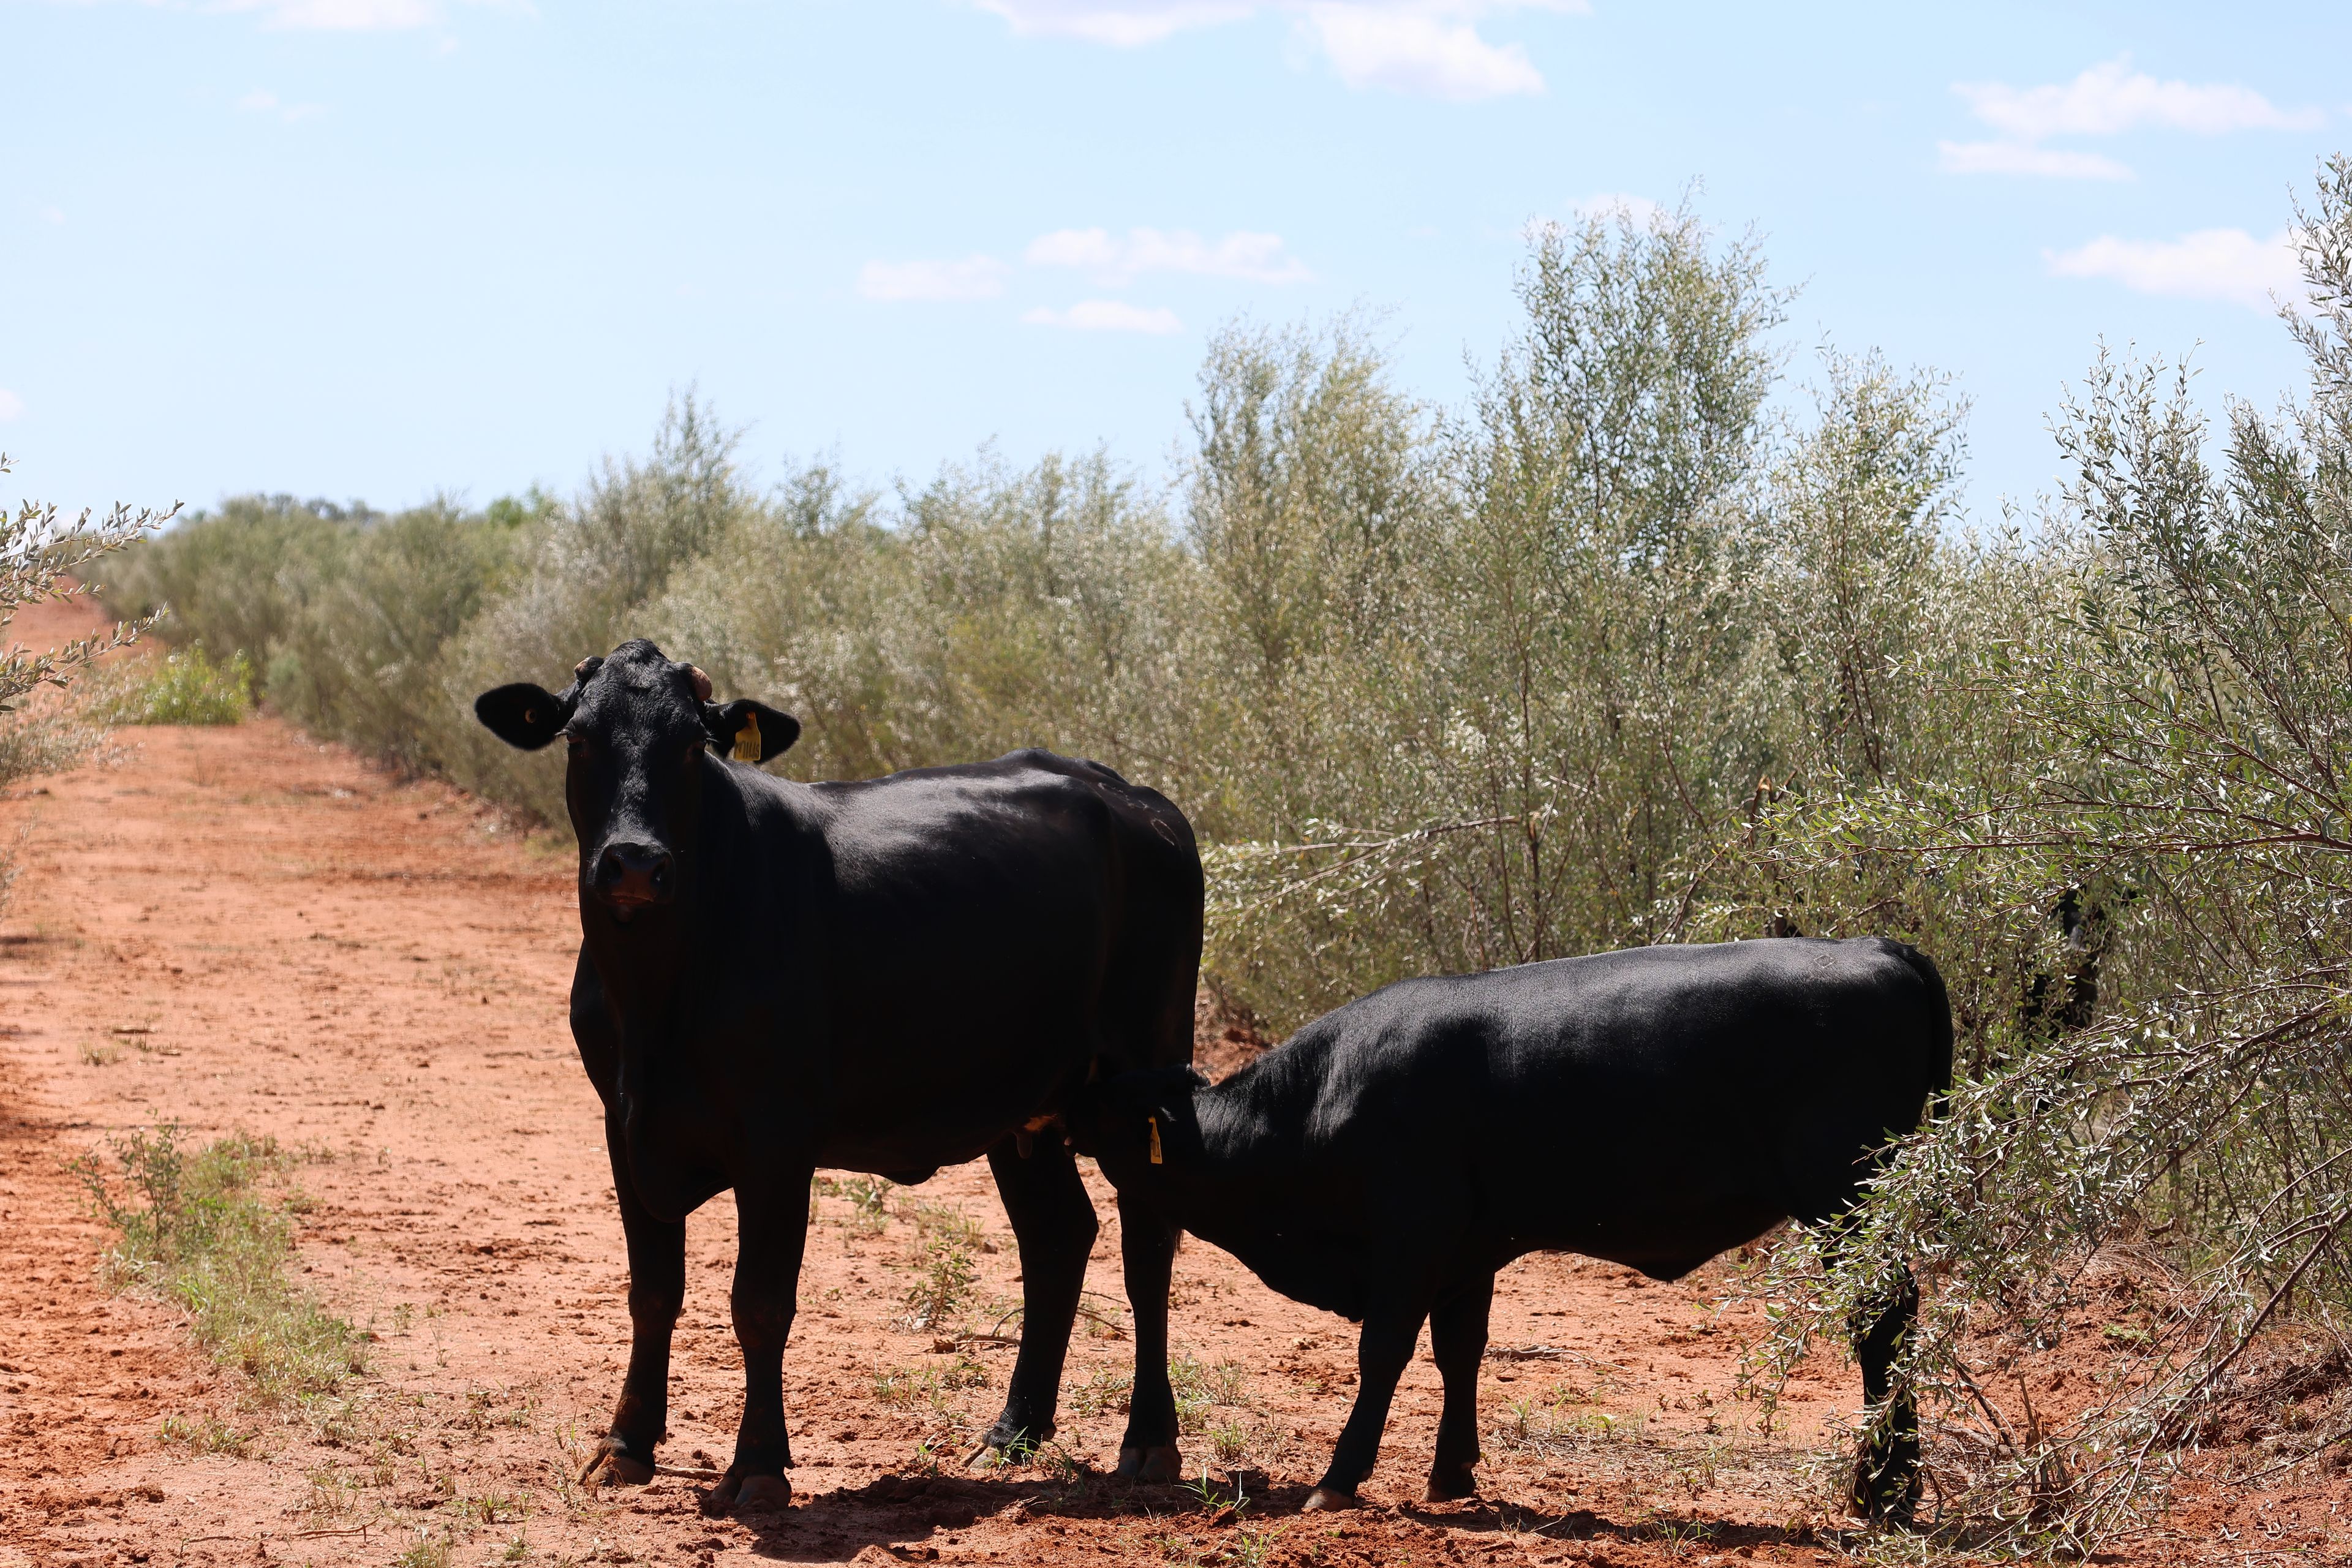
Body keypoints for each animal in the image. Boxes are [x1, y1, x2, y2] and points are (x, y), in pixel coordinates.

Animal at [470, 639, 1204, 1504]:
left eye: (692, 745)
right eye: (580, 738)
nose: (635, 865)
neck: (654, 995)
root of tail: (1132, 798)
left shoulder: (777, 1134)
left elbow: (759, 1300)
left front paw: (758, 1463)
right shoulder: (625, 1125)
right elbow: (652, 1292)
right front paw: (625, 1443)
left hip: (1147, 1072)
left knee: (1147, 1248)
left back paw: (1149, 1442)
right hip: (1022, 1102)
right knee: (1057, 1236)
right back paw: (1011, 1433)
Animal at [1082, 944, 1947, 1523]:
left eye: (1108, 1101)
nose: (1061, 1108)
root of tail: (1879, 949)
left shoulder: (1414, 1231)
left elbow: (1384, 1352)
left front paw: (1340, 1477)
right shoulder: (1469, 1249)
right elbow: (1460, 1348)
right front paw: (1453, 1470)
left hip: (1850, 1201)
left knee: (1882, 1325)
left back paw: (1881, 1490)